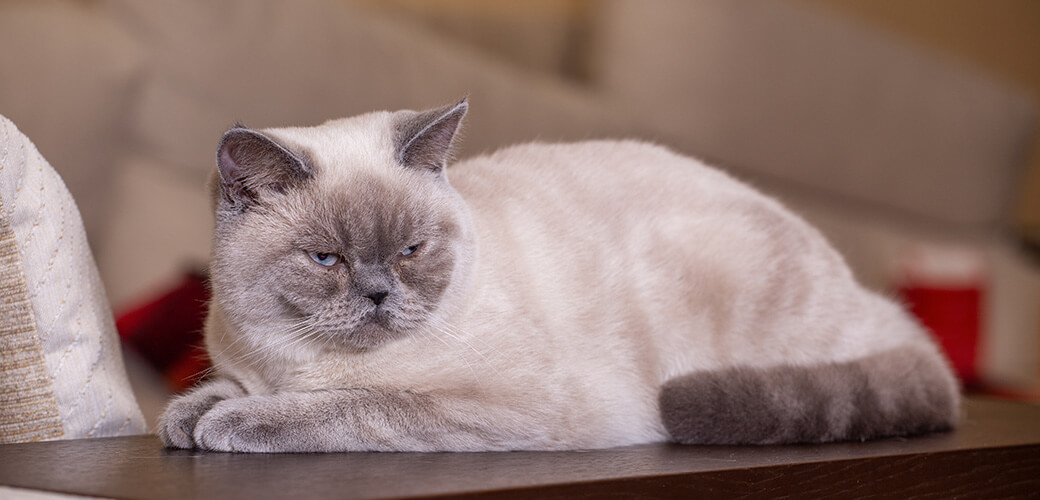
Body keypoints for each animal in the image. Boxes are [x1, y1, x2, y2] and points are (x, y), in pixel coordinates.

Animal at [158, 98, 960, 453]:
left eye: (413, 250)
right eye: (327, 259)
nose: (381, 294)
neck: (294, 361)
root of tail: (877, 300)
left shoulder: (498, 405)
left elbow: (350, 407)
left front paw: (232, 426)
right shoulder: (241, 361)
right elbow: (207, 395)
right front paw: (189, 417)